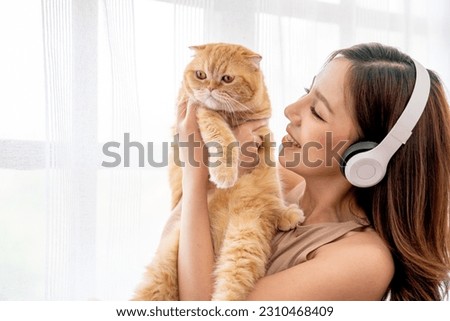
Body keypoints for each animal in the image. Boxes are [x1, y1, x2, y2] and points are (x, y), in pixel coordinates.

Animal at [132, 42, 304, 300]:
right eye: (201, 74)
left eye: (227, 78)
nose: (210, 88)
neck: (234, 117)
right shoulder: (203, 113)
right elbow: (222, 137)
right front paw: (225, 172)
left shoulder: (264, 134)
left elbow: (272, 177)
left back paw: (284, 215)